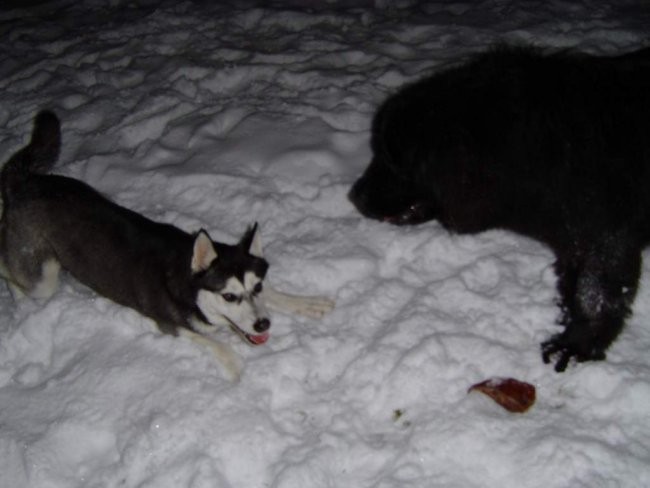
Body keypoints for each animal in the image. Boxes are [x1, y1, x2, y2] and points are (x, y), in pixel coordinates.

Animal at [1, 109, 334, 378]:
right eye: (228, 296)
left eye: (258, 287)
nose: (264, 325)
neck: (187, 281)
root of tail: (26, 182)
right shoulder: (169, 323)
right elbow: (211, 341)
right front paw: (234, 365)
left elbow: (277, 295)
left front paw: (304, 302)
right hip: (42, 277)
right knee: (14, 273)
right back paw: (17, 297)